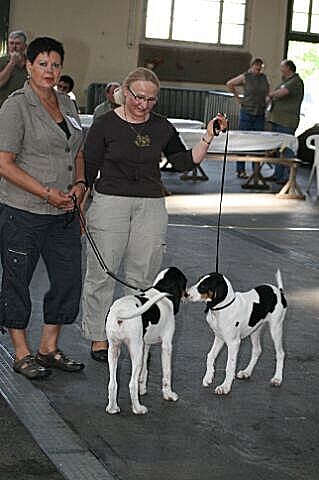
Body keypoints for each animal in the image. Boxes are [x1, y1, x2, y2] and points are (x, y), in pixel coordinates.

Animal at [106, 268, 189, 414]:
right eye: (185, 283)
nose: (188, 295)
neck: (161, 289)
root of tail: (120, 312)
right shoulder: (167, 345)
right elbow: (167, 373)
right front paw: (169, 395)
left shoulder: (145, 345)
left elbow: (144, 370)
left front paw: (143, 389)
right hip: (135, 352)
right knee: (131, 384)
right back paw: (138, 409)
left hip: (114, 350)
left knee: (113, 384)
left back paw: (112, 408)